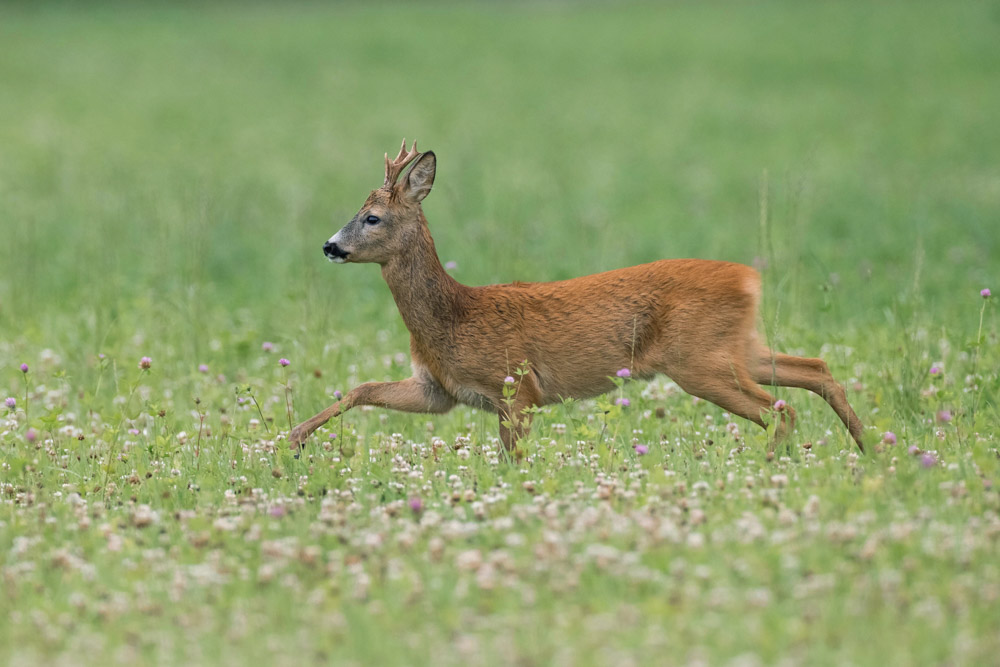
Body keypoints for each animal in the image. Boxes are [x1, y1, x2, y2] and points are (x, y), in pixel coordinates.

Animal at [288, 140, 866, 454]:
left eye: (371, 217)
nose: (330, 246)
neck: (452, 317)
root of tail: (749, 278)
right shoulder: (438, 391)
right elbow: (362, 388)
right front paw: (291, 439)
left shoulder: (515, 385)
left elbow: (514, 460)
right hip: (737, 348)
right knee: (816, 369)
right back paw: (870, 451)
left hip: (698, 360)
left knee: (783, 409)